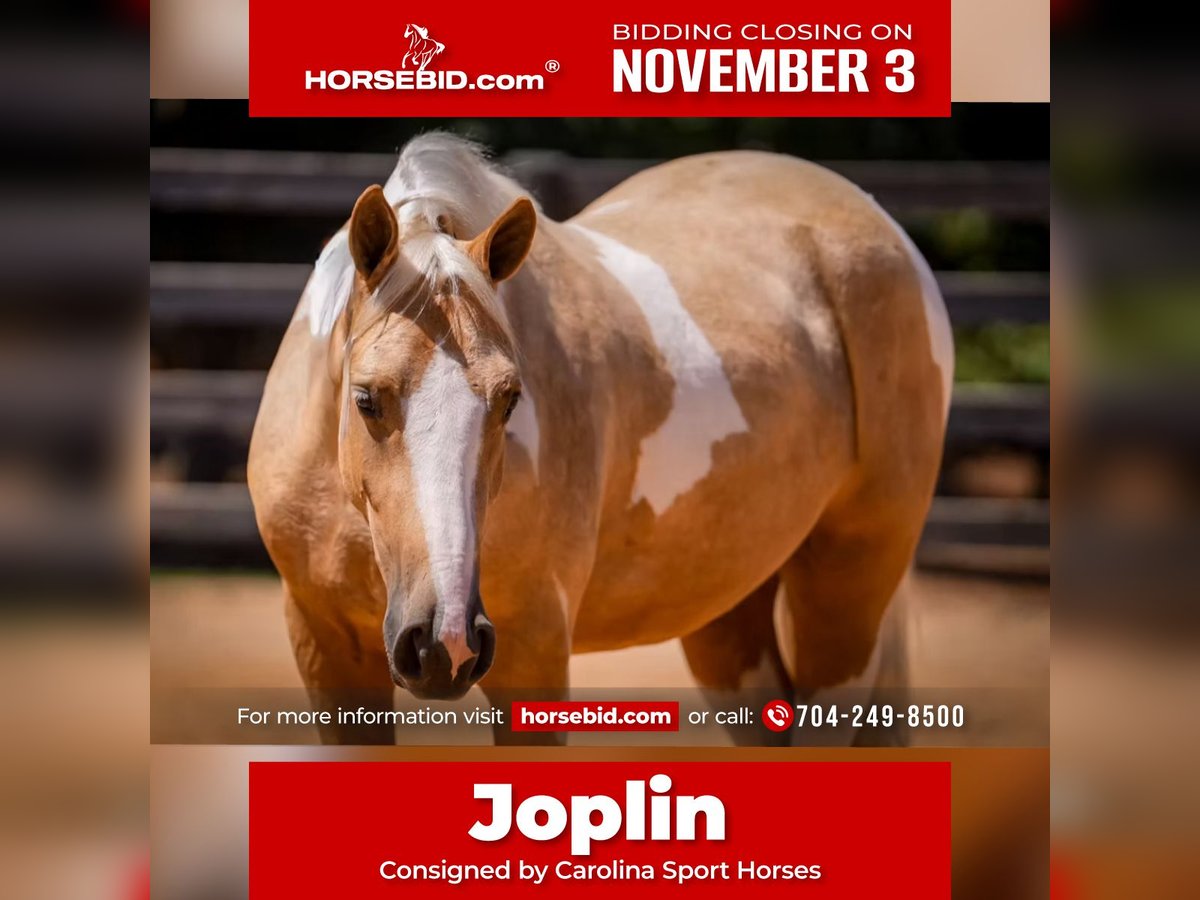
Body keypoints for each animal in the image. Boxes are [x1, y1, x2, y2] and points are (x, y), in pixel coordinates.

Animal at [247, 134, 953, 745]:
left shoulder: (531, 657)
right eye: (366, 398)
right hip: (727, 616)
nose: (440, 642)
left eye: (510, 400)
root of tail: (870, 216)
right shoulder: (327, 650)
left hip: (847, 591)